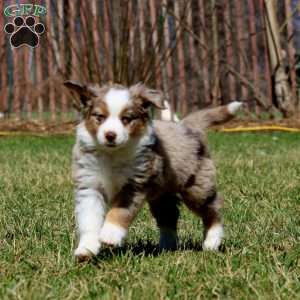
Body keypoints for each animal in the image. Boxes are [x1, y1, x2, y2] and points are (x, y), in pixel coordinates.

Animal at [63, 81, 241, 262]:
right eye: (99, 117)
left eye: (126, 119)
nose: (110, 135)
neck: (112, 154)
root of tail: (186, 125)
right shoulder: (89, 185)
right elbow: (89, 220)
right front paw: (86, 249)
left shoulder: (135, 184)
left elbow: (120, 211)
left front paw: (110, 235)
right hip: (161, 193)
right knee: (169, 215)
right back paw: (166, 247)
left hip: (196, 187)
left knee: (212, 208)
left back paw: (212, 242)